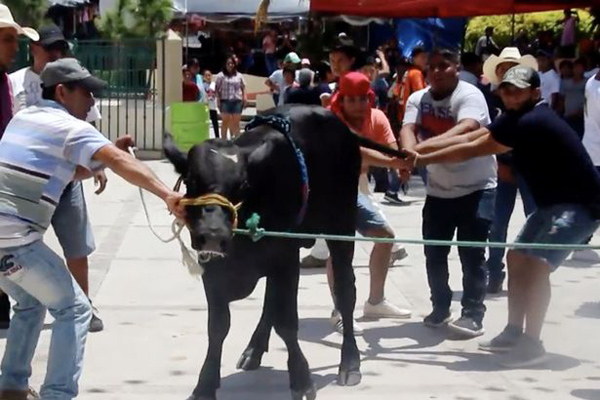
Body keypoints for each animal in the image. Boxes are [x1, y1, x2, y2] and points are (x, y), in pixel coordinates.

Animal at [164, 105, 408, 400]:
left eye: (243, 185)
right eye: (191, 180)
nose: (213, 234)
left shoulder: (285, 258)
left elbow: (288, 323)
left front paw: (301, 380)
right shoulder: (213, 268)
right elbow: (218, 326)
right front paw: (205, 384)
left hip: (340, 223)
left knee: (345, 289)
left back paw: (350, 362)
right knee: (272, 302)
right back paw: (254, 350)